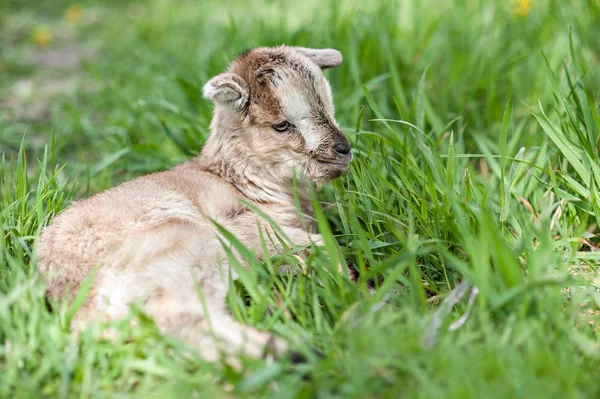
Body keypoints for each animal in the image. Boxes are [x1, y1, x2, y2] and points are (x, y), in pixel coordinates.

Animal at [37, 46, 352, 366]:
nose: (343, 150)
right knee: (179, 314)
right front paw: (345, 279)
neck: (236, 179)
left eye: (329, 107)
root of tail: (79, 306)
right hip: (188, 247)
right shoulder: (245, 224)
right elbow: (320, 245)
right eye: (281, 125)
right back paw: (295, 354)